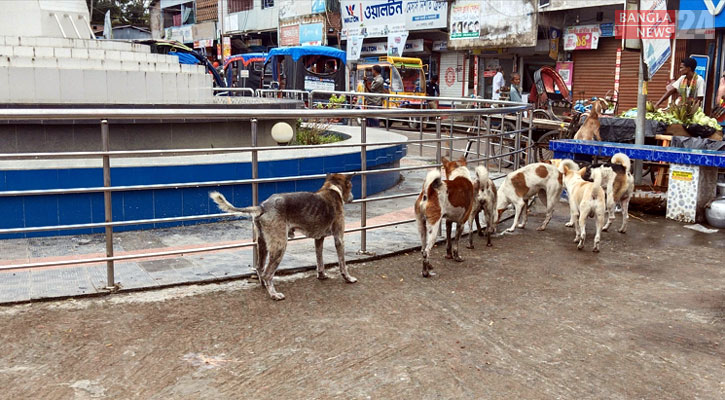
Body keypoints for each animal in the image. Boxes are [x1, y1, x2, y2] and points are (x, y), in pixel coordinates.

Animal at [208, 173, 354, 302]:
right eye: (351, 186)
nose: (352, 198)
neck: (332, 189)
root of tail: (262, 207)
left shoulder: (318, 239)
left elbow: (320, 260)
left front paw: (321, 275)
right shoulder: (339, 238)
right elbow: (342, 263)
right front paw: (348, 278)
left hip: (262, 244)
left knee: (260, 268)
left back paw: (265, 286)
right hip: (280, 246)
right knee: (267, 274)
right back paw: (274, 294)